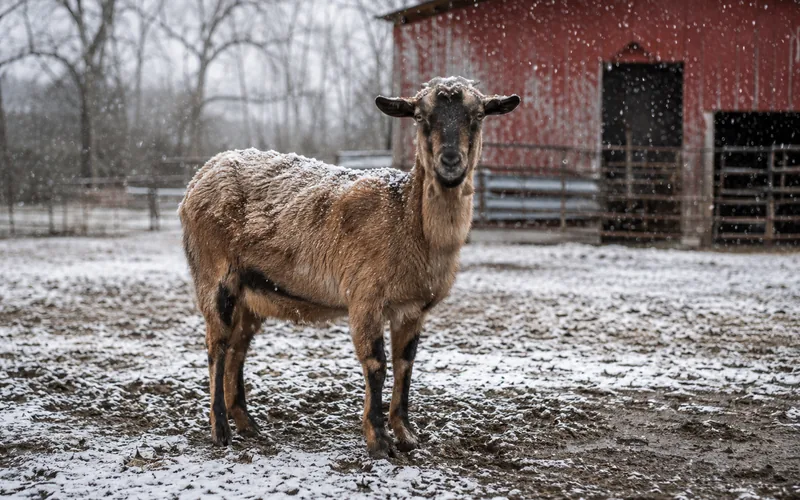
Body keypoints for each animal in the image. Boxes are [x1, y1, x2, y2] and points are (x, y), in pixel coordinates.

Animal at [178, 76, 520, 458]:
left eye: (478, 116)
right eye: (420, 117)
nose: (450, 161)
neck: (407, 219)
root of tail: (199, 177)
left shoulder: (413, 308)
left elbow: (406, 364)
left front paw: (406, 434)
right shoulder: (365, 296)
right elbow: (376, 364)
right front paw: (379, 440)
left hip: (252, 292)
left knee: (237, 350)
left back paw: (249, 425)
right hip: (213, 275)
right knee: (217, 348)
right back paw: (220, 431)